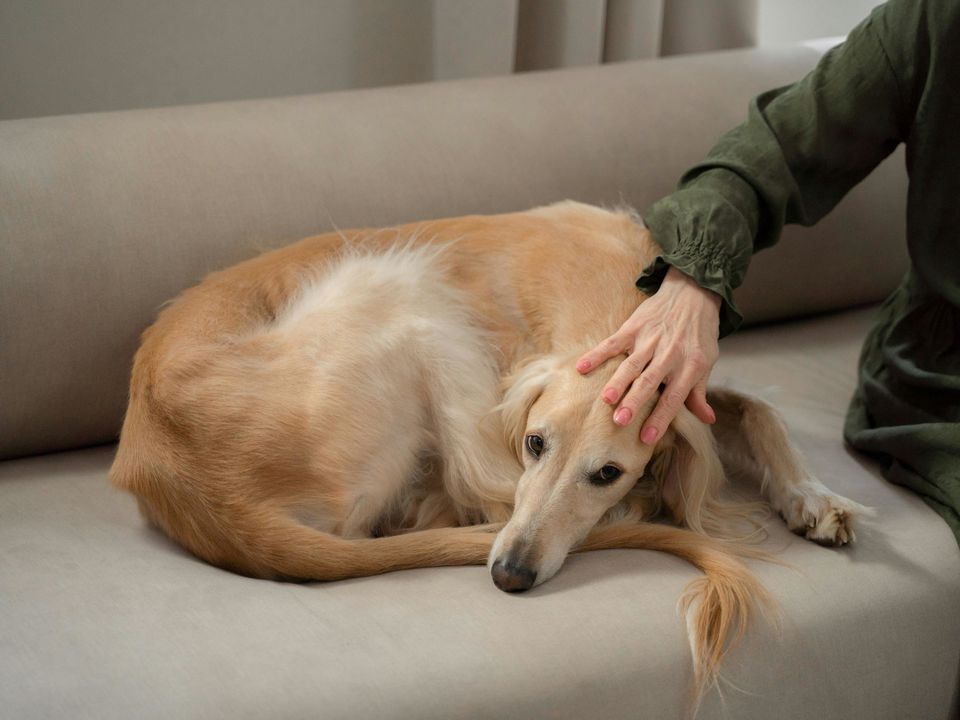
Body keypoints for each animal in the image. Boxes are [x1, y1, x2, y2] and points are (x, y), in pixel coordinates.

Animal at [109, 201, 868, 704]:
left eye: (607, 472)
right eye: (535, 442)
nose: (508, 575)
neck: (608, 300)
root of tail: (200, 490)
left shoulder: (691, 392)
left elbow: (759, 411)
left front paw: (815, 497)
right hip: (402, 290)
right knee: (463, 497)